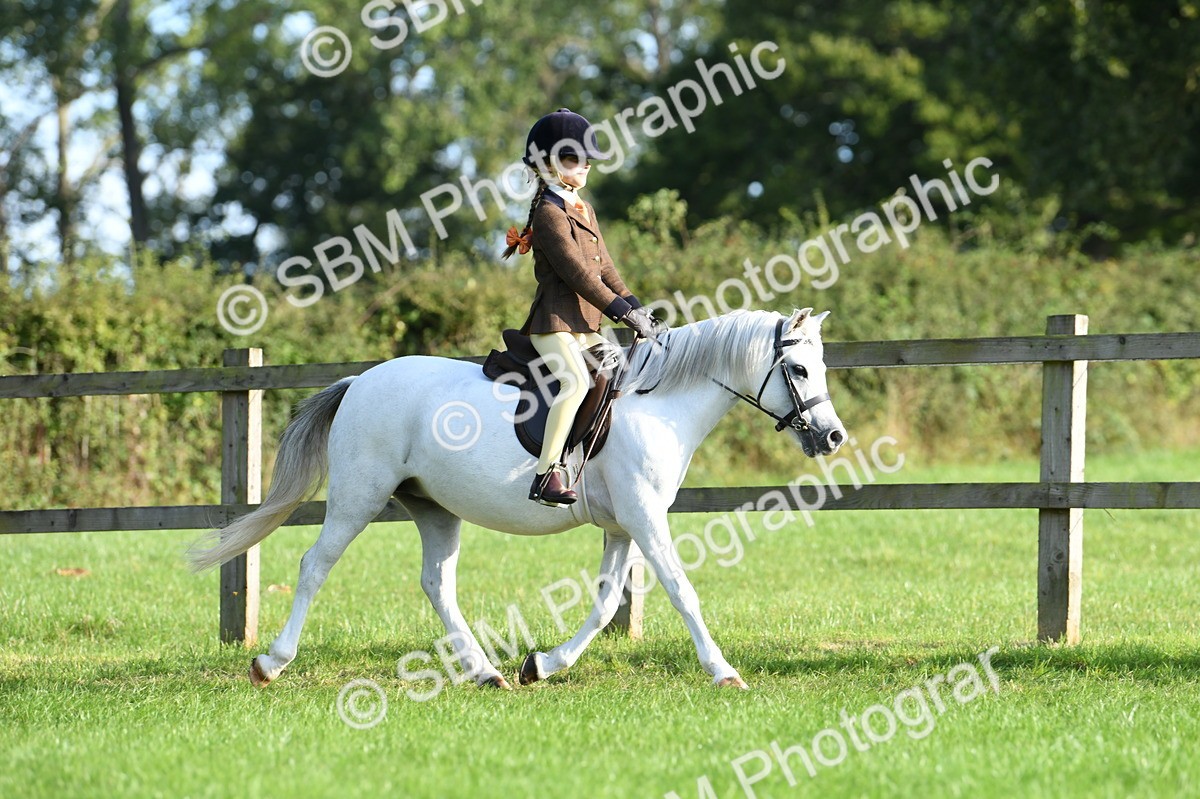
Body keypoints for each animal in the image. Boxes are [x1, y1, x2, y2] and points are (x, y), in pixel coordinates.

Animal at [189, 307, 847, 690]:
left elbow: (604, 605)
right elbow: (682, 591)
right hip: (359, 497)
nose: (833, 437)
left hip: (434, 509)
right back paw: (270, 663)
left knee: (437, 583)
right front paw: (724, 672)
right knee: (315, 565)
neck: (659, 402)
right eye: (799, 370)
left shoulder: (622, 525)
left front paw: (543, 665)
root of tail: (360, 381)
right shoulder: (644, 517)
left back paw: (485, 673)